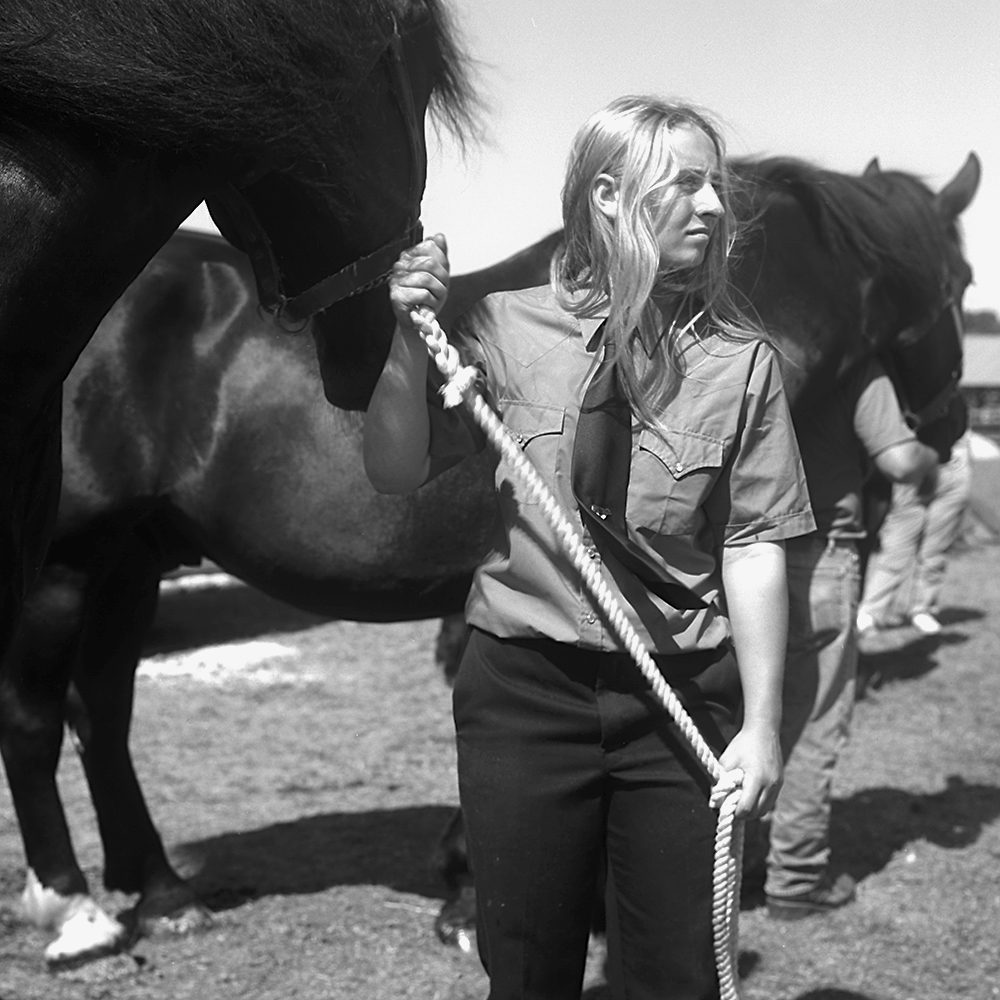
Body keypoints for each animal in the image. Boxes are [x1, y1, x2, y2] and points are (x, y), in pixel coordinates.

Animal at [0, 151, 980, 965]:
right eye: (963, 281)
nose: (950, 431)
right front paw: (471, 898)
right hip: (66, 565)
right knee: (37, 721)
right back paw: (75, 908)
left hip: (131, 561)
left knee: (103, 715)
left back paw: (163, 892)